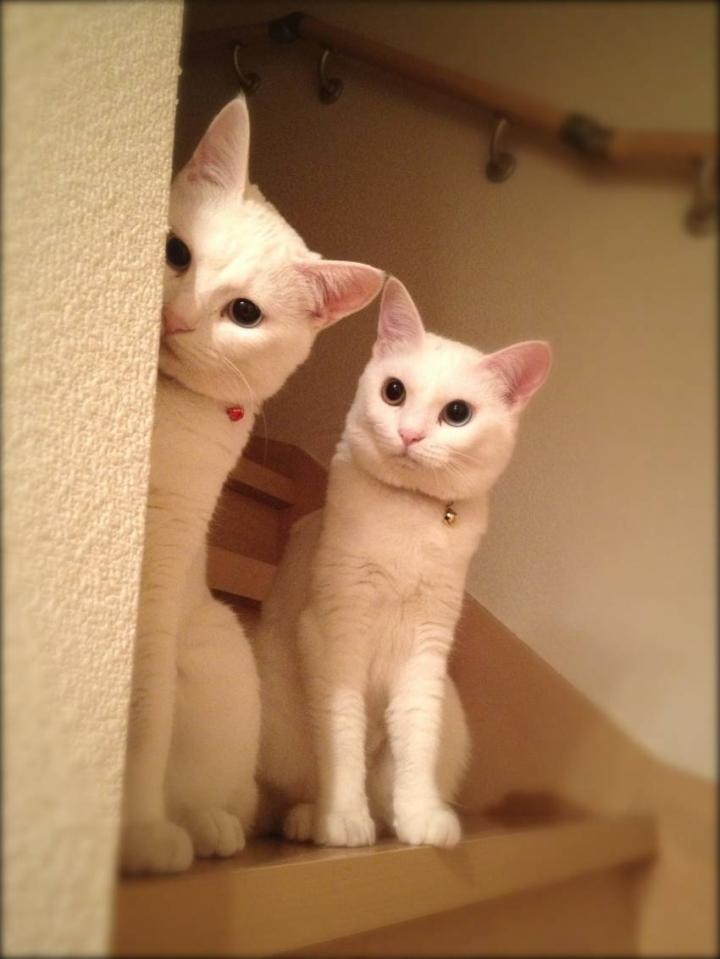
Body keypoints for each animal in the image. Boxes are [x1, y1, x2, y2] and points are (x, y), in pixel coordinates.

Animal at [119, 96, 384, 875]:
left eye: (244, 313)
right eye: (175, 252)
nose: (175, 317)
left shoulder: (162, 552)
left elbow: (142, 712)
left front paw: (136, 834)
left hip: (220, 658)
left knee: (224, 798)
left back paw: (202, 827)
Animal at [254, 276, 551, 848]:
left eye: (457, 413)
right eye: (394, 392)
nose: (410, 434)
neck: (408, 516)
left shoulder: (426, 649)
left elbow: (416, 739)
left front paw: (420, 817)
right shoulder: (335, 633)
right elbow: (342, 737)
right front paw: (342, 819)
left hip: (453, 716)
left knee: (388, 782)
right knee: (292, 790)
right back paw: (308, 818)